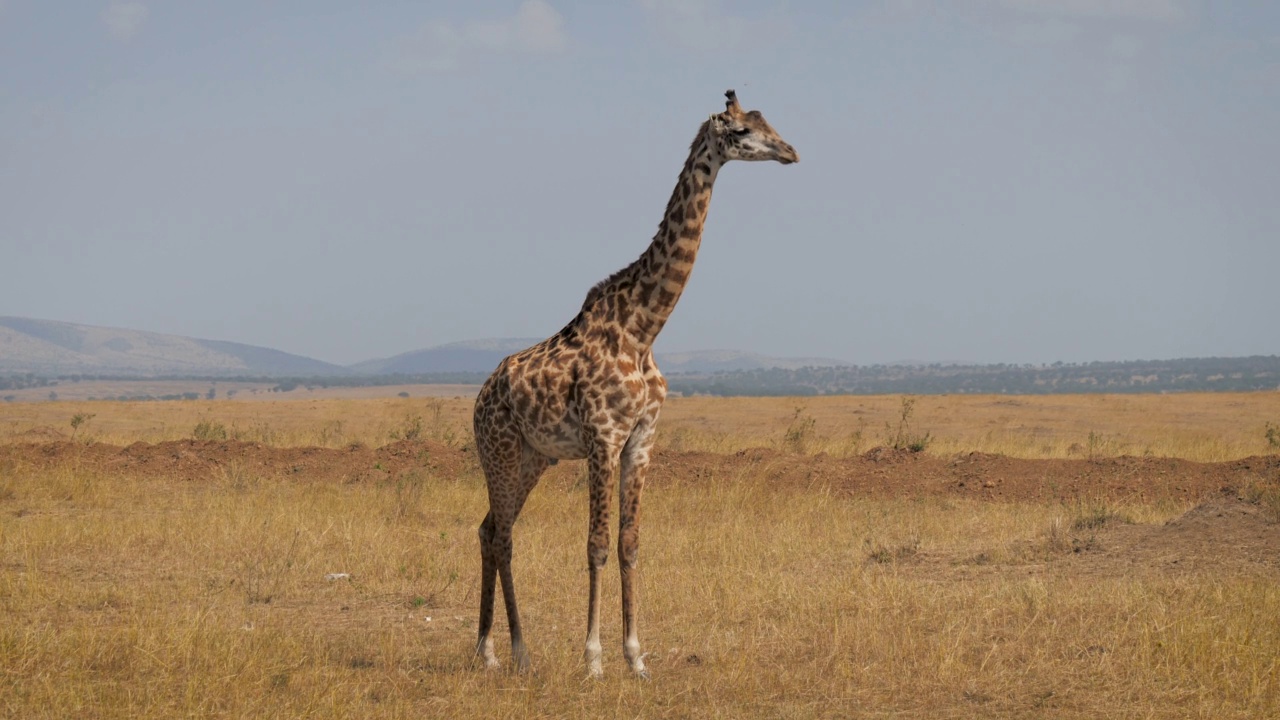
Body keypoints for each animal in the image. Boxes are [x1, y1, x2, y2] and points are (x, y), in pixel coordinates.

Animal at [471, 87, 793, 676]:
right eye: (741, 131)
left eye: (770, 123)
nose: (791, 152)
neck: (643, 328)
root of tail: (480, 397)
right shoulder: (604, 436)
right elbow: (596, 542)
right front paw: (594, 659)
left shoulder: (642, 440)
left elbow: (629, 543)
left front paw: (635, 656)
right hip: (498, 450)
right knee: (502, 536)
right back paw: (508, 652)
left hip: (533, 458)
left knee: (490, 530)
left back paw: (493, 649)